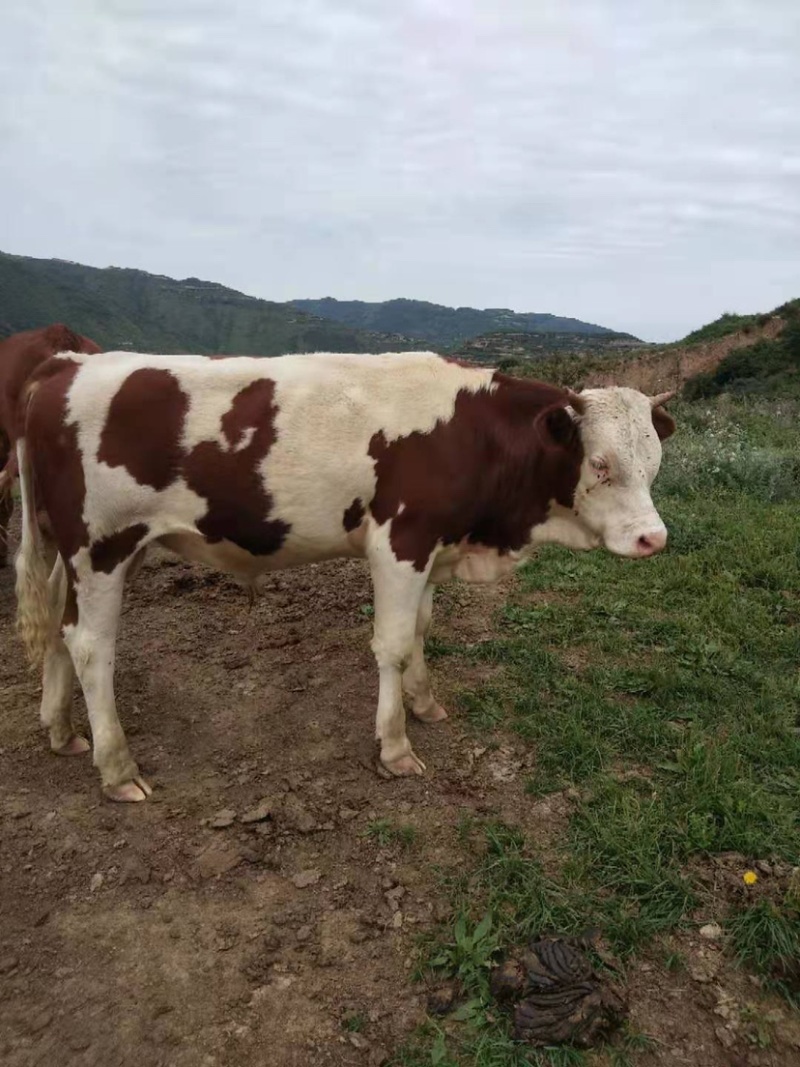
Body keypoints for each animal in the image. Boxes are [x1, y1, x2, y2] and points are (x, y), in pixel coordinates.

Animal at [14, 349, 678, 802]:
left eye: (654, 462)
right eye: (600, 463)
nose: (654, 538)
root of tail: (68, 363)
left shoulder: (432, 546)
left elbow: (420, 630)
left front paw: (424, 702)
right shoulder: (399, 541)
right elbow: (392, 644)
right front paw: (395, 745)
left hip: (79, 552)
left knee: (58, 627)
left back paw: (61, 729)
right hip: (101, 546)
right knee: (91, 646)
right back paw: (117, 767)